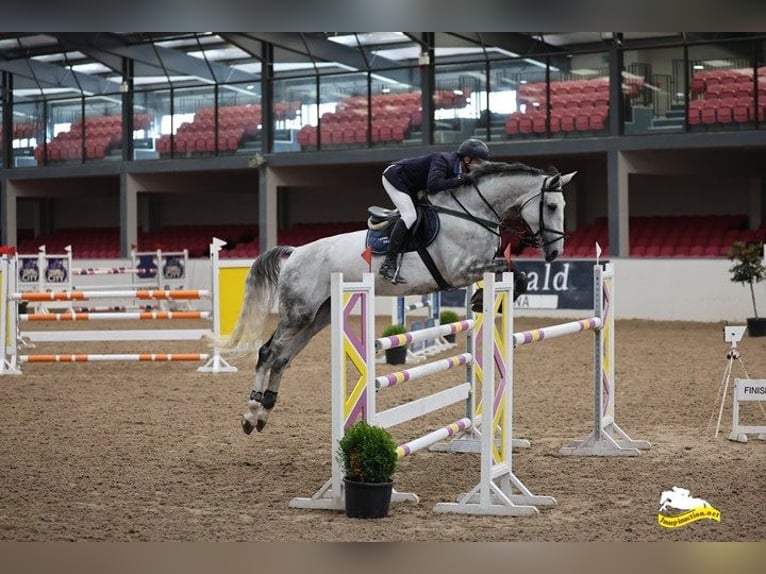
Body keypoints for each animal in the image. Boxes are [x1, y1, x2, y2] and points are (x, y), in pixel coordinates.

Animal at [206, 161, 576, 434]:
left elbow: (515, 273)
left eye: (562, 206)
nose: (556, 252)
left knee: (282, 357)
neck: (473, 213)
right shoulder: (460, 270)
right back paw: (251, 413)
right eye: (551, 205)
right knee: (268, 352)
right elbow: (512, 269)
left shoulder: (475, 267)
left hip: (319, 316)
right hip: (298, 313)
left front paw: (481, 300)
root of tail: (295, 252)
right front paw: (480, 300)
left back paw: (265, 411)